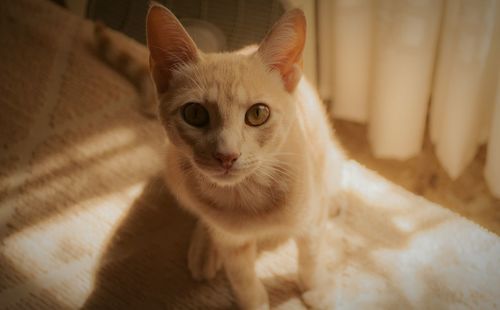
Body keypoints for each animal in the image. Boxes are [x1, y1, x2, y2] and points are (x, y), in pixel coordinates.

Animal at [94, 3, 344, 310]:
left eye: (258, 114)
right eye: (194, 113)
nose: (227, 155)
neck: (247, 196)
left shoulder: (311, 221)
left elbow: (311, 255)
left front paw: (316, 288)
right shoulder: (232, 243)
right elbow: (241, 276)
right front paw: (254, 301)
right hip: (174, 170)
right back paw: (204, 245)